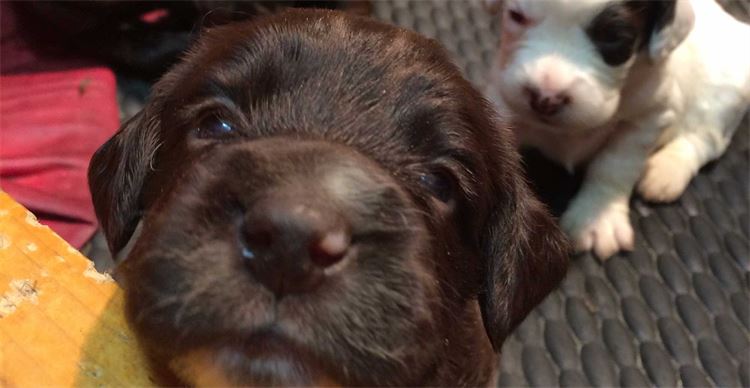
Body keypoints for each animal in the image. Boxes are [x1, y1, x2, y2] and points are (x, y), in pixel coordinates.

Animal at [484, 0, 750, 260]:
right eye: (517, 16)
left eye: (613, 36)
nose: (545, 98)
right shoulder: (501, 102)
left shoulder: (646, 119)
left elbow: (614, 166)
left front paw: (598, 218)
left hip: (724, 96)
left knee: (703, 138)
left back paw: (666, 170)